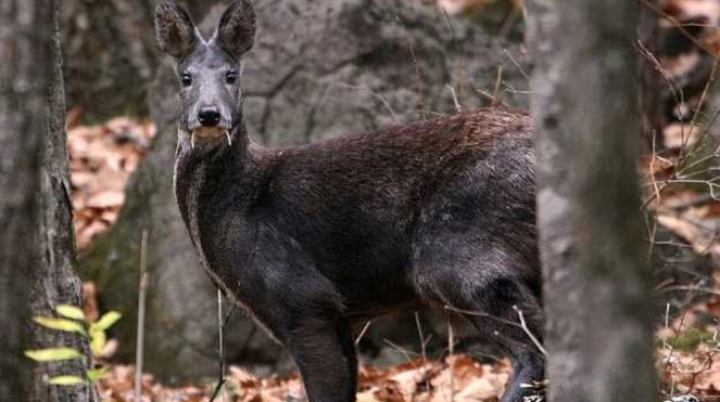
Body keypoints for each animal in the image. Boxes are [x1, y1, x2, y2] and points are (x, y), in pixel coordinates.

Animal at [155, 1, 544, 400]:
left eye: (232, 75)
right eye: (185, 77)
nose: (209, 114)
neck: (240, 203)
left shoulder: (304, 300)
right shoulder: (337, 316)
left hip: (459, 254)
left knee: (533, 349)